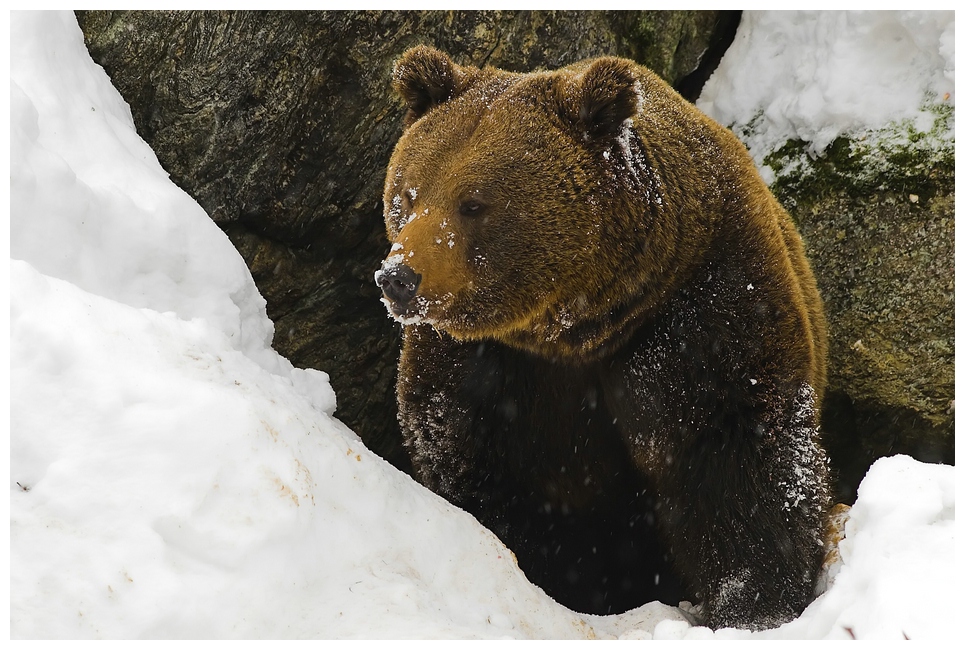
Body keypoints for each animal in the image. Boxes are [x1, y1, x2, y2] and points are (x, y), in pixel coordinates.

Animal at [374, 44, 828, 628]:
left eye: (473, 204)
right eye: (407, 195)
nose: (398, 277)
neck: (574, 327)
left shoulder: (700, 312)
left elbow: (735, 450)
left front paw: (756, 606)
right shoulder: (475, 364)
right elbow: (469, 464)